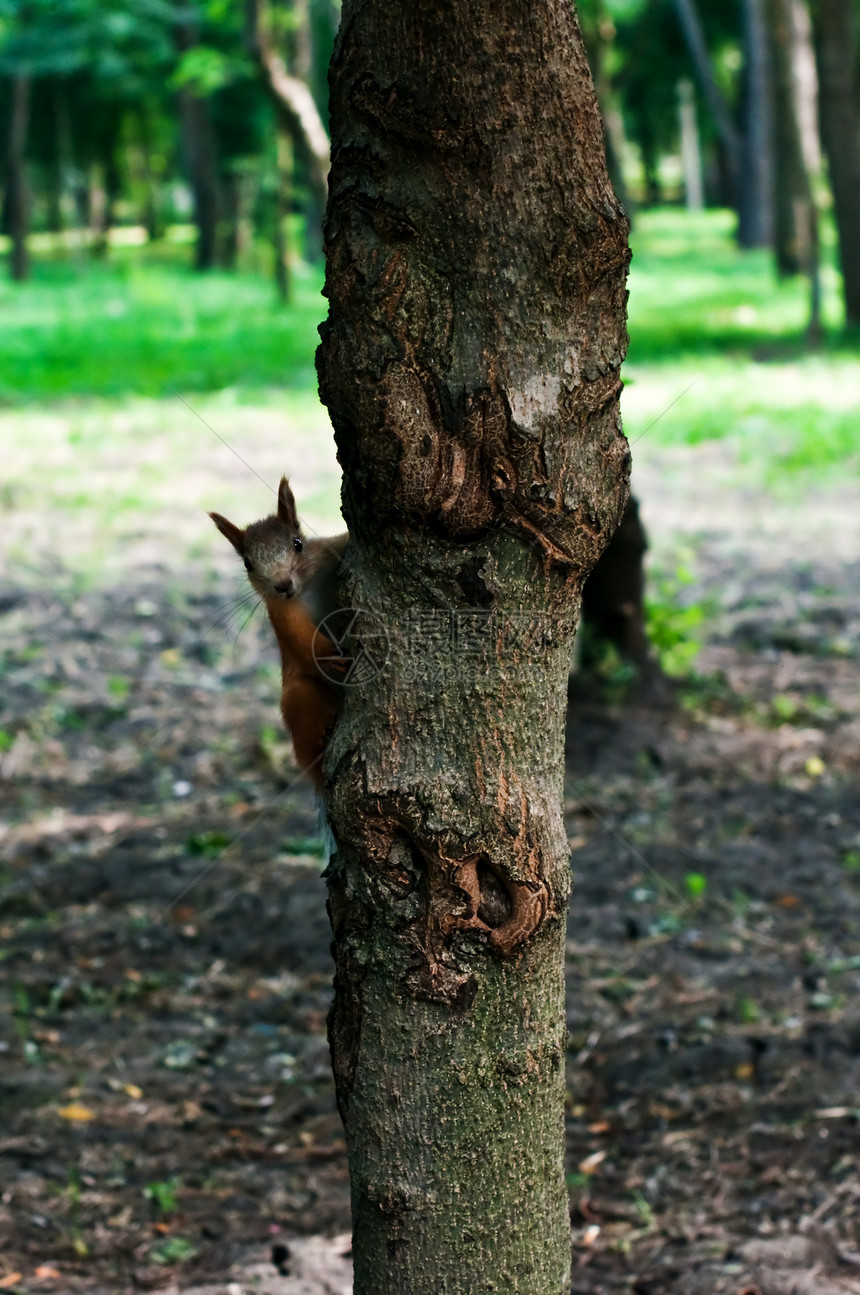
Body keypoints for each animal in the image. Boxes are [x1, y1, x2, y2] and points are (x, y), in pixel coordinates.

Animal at [209, 479, 347, 787]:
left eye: (298, 544)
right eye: (247, 563)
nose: (283, 585)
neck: (306, 588)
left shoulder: (329, 551)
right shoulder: (283, 615)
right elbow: (302, 640)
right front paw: (328, 655)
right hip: (298, 695)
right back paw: (321, 738)